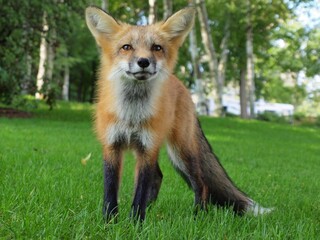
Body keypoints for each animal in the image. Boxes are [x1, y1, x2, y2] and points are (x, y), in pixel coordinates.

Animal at [84, 5, 270, 221]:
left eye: (156, 48)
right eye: (126, 47)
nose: (143, 61)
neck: (132, 116)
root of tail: (180, 84)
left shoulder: (148, 148)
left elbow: (140, 191)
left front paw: (135, 223)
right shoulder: (112, 146)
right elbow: (110, 191)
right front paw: (110, 222)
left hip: (180, 150)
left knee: (201, 183)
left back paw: (198, 215)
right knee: (159, 176)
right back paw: (153, 209)